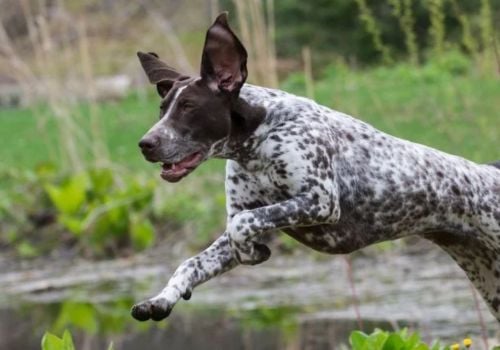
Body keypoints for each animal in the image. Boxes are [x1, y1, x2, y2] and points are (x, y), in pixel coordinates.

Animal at [132, 12, 500, 322]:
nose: (145, 143)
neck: (259, 138)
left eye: (189, 107)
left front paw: (254, 253)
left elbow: (243, 224)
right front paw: (162, 298)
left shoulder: (320, 201)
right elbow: (192, 261)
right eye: (162, 109)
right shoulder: (246, 218)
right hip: (490, 284)